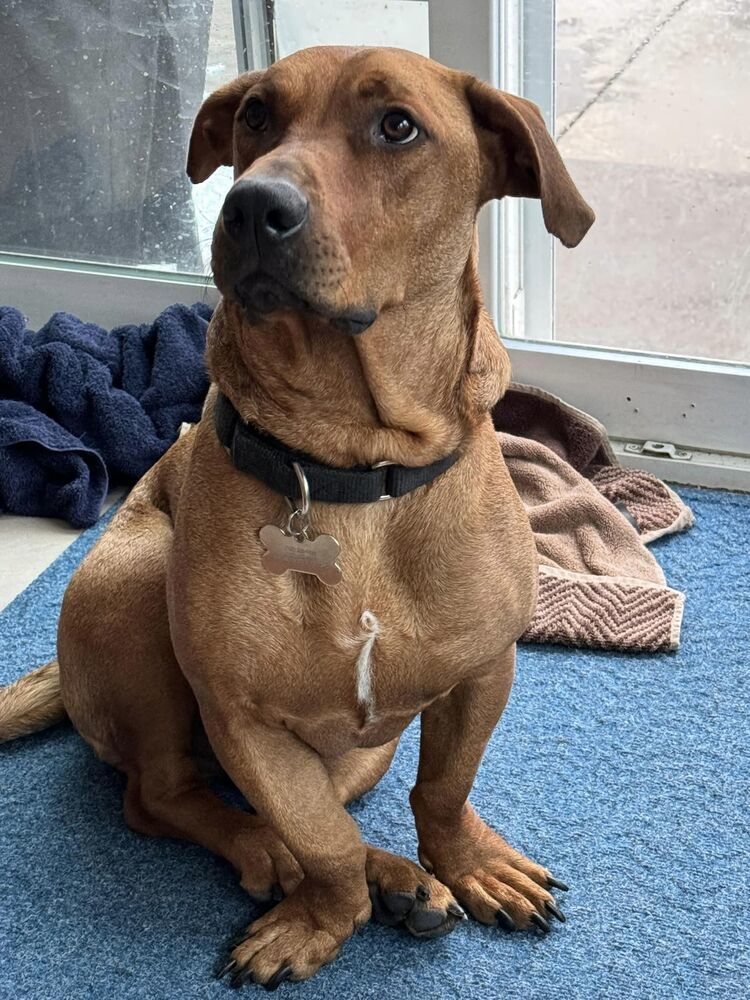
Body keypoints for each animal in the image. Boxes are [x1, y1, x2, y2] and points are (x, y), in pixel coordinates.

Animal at [0, 45, 592, 984]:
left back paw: (403, 878)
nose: (251, 205)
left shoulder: (481, 673)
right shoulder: (244, 719)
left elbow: (440, 789)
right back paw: (269, 854)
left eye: (397, 125)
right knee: (161, 795)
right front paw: (320, 915)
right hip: (134, 590)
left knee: (325, 810)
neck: (355, 465)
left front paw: (463, 864)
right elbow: (320, 845)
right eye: (255, 117)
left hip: (362, 749)